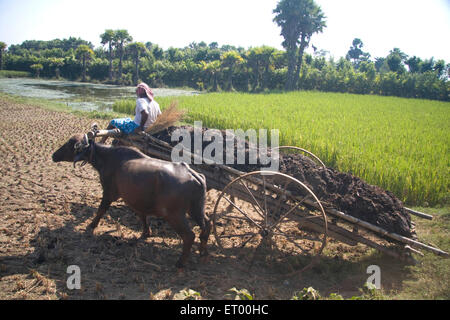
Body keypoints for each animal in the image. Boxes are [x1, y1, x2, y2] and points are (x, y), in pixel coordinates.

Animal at [51, 134, 210, 268]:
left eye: (70, 145)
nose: (53, 155)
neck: (108, 158)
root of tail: (193, 175)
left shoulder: (108, 193)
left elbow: (101, 209)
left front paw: (91, 225)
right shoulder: (137, 200)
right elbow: (142, 216)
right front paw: (146, 233)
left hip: (174, 215)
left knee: (189, 236)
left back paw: (180, 262)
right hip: (196, 209)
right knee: (207, 225)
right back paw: (203, 253)